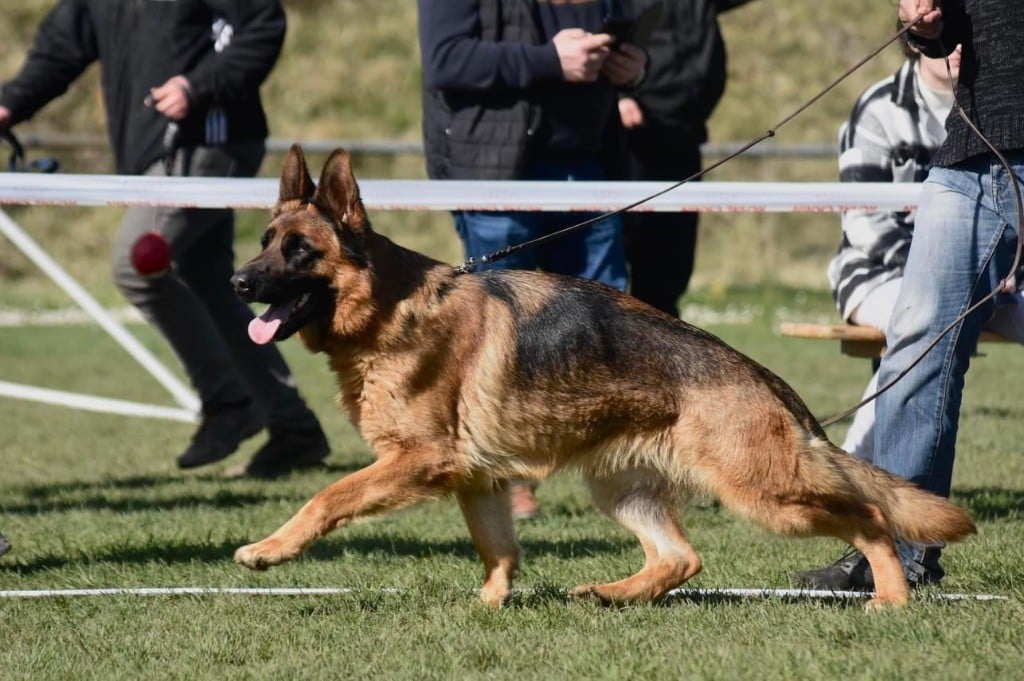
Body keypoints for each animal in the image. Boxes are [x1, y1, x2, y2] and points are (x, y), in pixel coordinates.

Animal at [232, 146, 974, 606]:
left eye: (299, 251)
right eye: (265, 242)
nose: (237, 282)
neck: (391, 307)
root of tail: (761, 377)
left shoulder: (420, 460)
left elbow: (326, 497)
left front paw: (269, 549)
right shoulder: (478, 479)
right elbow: (497, 548)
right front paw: (491, 603)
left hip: (764, 495)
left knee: (871, 516)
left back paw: (891, 597)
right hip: (621, 487)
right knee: (681, 558)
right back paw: (612, 593)